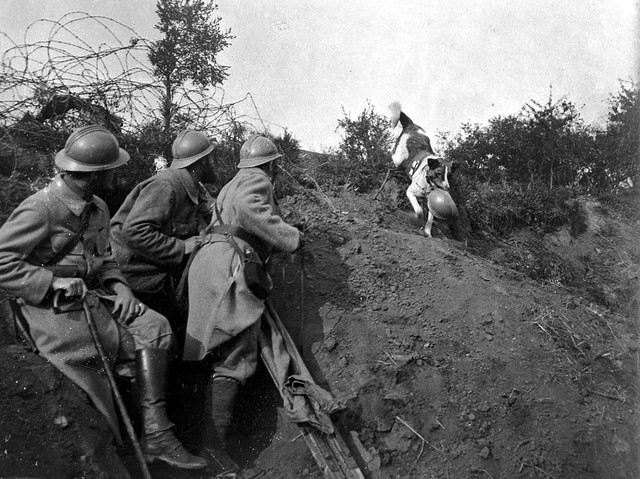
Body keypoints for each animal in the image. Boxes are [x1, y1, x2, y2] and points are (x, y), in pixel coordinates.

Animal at [388, 102, 458, 237]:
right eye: (439, 173)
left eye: (450, 176)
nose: (447, 188)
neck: (428, 183)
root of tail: (411, 124)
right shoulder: (410, 192)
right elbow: (419, 211)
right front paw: (417, 217)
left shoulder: (430, 203)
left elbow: (430, 219)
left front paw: (427, 231)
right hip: (398, 156)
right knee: (394, 157)